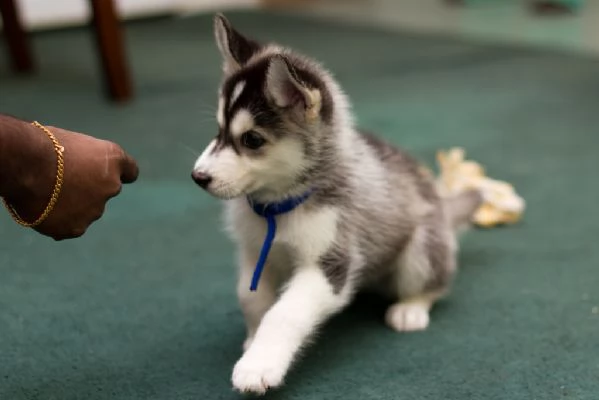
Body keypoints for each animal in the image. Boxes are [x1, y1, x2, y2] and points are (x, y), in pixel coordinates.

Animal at [192, 14, 482, 394]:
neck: (277, 208)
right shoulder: (255, 253)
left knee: (434, 282)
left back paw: (411, 308)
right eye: (219, 130)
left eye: (252, 139)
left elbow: (283, 314)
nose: (198, 176)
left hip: (420, 251)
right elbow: (250, 297)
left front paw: (258, 365)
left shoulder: (330, 263)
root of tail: (443, 206)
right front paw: (253, 340)